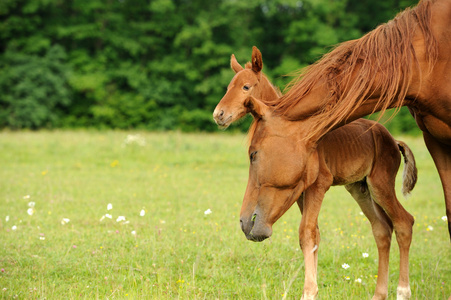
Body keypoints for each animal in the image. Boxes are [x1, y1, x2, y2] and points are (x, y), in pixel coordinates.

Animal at [216, 47, 420, 300]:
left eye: (246, 87)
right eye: (228, 87)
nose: (219, 114)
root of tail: (393, 140)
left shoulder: (318, 184)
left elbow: (307, 233)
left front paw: (309, 291)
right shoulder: (300, 191)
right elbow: (313, 235)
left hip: (380, 184)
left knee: (403, 222)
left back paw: (402, 290)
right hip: (360, 188)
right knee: (382, 229)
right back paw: (379, 294)